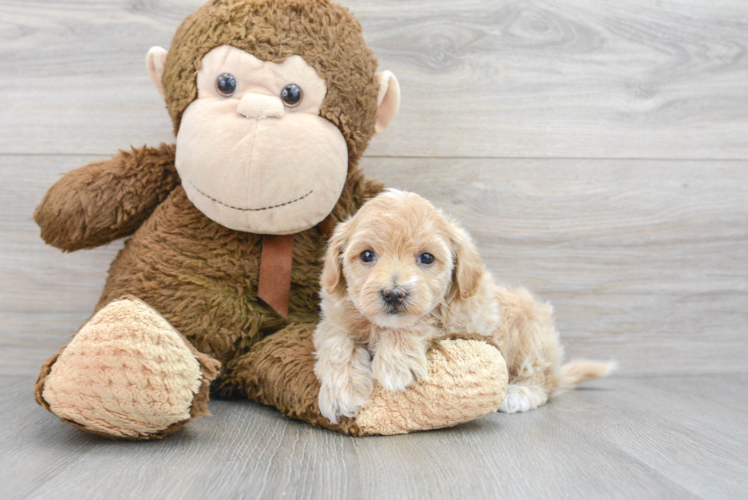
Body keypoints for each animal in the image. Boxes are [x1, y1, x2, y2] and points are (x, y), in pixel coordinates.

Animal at [314, 189, 612, 424]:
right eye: (367, 255)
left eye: (426, 258)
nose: (394, 294)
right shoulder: (335, 319)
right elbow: (337, 344)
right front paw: (341, 393)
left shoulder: (464, 321)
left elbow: (423, 320)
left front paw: (395, 363)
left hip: (531, 332)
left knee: (543, 381)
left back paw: (519, 394)